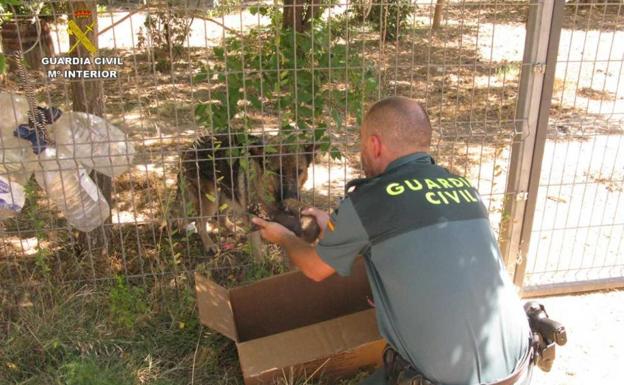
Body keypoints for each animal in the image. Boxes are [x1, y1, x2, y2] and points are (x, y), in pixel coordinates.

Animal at [174, 133, 314, 252]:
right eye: (277, 172)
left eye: (299, 171)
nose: (292, 197)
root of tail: (190, 148)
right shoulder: (252, 220)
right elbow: (258, 249)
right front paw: (262, 264)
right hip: (211, 199)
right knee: (200, 223)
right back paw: (209, 245)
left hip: (228, 193)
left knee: (220, 217)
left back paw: (233, 229)